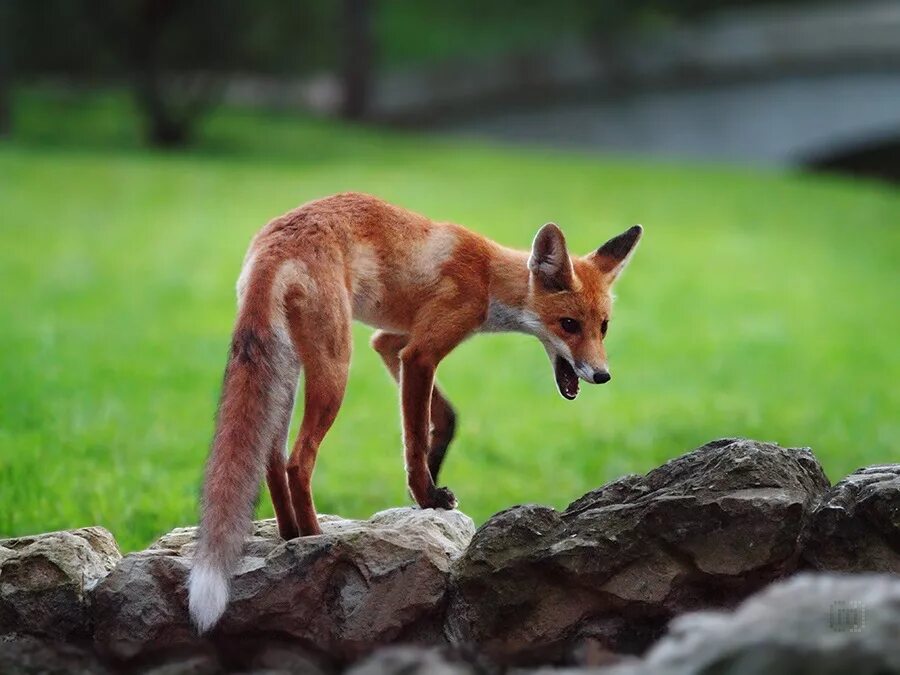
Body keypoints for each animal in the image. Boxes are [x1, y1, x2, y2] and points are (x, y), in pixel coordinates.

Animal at [186, 191, 644, 632]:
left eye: (603, 327)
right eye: (569, 324)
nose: (602, 375)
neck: (488, 277)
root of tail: (276, 241)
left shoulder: (392, 343)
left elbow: (444, 418)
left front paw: (430, 486)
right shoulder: (421, 353)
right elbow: (415, 435)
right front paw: (426, 494)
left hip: (288, 366)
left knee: (271, 456)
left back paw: (289, 535)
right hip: (335, 366)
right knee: (299, 461)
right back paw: (316, 541)